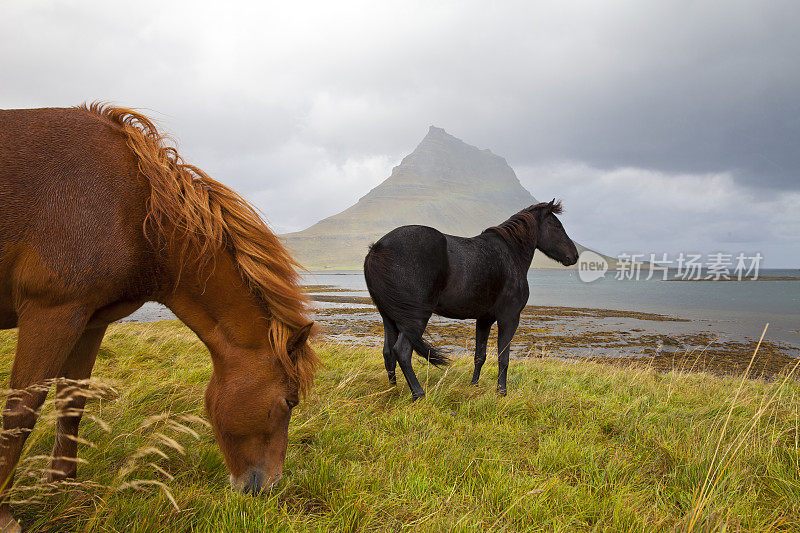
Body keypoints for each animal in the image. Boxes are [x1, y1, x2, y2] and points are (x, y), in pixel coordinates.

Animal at [0, 103, 318, 528]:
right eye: (290, 401)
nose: (267, 487)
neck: (131, 207)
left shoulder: (88, 321)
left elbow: (72, 404)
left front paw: (64, 489)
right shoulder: (50, 313)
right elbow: (20, 413)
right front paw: (5, 515)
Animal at [366, 201, 580, 400]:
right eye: (557, 226)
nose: (575, 255)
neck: (510, 254)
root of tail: (378, 248)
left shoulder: (484, 320)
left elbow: (480, 356)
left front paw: (473, 385)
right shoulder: (509, 318)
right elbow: (503, 358)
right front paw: (501, 391)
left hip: (390, 318)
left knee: (388, 352)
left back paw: (394, 389)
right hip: (415, 319)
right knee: (402, 351)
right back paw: (418, 394)